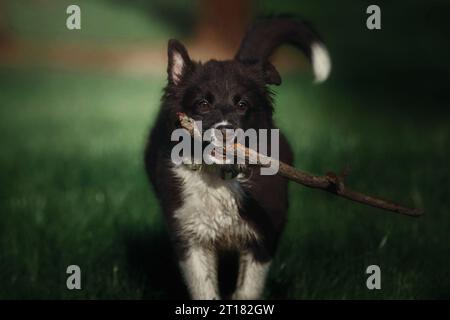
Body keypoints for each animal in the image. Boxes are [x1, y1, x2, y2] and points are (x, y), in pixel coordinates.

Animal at [145, 15, 330, 300]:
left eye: (242, 105)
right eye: (203, 104)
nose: (225, 132)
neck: (220, 177)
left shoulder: (263, 235)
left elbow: (247, 290)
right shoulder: (190, 235)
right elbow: (205, 290)